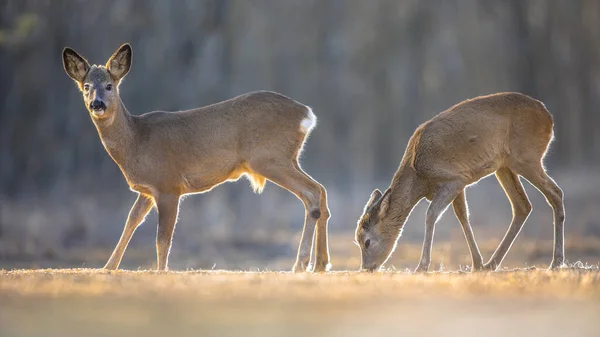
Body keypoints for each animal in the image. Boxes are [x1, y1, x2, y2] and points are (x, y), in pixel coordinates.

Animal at [63, 43, 330, 272]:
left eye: (110, 85)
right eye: (86, 86)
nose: (97, 104)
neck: (137, 141)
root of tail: (306, 113)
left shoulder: (168, 185)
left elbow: (162, 238)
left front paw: (161, 271)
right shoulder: (147, 190)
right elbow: (131, 220)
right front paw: (108, 267)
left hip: (269, 158)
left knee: (311, 193)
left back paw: (301, 264)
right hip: (288, 158)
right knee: (321, 192)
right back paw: (320, 264)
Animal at [356, 93, 568, 272]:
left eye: (367, 241)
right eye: (357, 240)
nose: (366, 268)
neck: (420, 179)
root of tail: (549, 118)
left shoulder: (454, 178)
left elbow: (431, 214)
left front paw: (422, 266)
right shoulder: (460, 181)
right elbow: (463, 216)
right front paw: (477, 263)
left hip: (526, 156)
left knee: (555, 192)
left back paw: (556, 261)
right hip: (504, 165)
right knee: (522, 205)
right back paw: (492, 263)